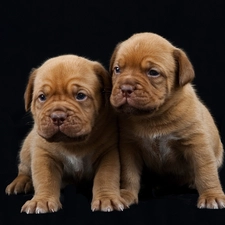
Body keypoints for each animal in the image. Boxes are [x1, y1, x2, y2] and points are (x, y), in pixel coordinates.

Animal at [5, 54, 125, 213]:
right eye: (42, 97)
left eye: (80, 95)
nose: (57, 116)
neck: (73, 143)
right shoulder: (44, 155)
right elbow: (45, 179)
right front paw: (41, 201)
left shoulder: (108, 153)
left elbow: (106, 176)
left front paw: (107, 198)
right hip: (26, 148)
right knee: (23, 168)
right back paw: (21, 182)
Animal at [109, 33, 225, 209]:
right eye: (117, 69)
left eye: (153, 72)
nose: (126, 88)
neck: (153, 117)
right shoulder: (129, 146)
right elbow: (129, 173)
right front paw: (127, 194)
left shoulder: (197, 143)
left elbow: (206, 171)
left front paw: (212, 195)